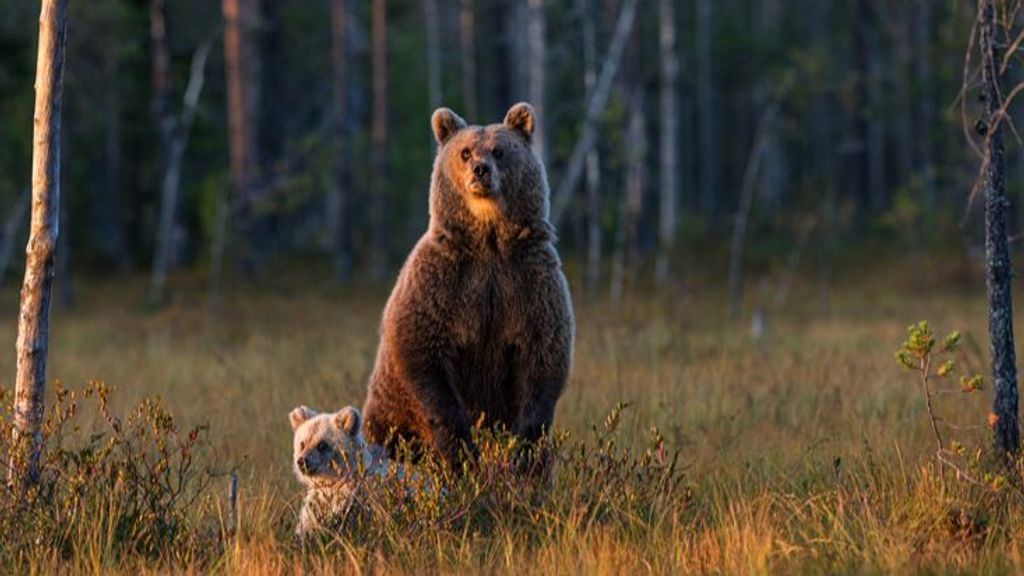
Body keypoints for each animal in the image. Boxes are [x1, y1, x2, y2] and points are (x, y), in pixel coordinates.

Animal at [360, 101, 573, 467]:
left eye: (499, 150)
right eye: (465, 151)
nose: (480, 170)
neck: (488, 241)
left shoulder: (528, 280)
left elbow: (543, 352)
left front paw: (522, 448)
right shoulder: (444, 280)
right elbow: (421, 345)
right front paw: (459, 446)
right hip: (388, 413)